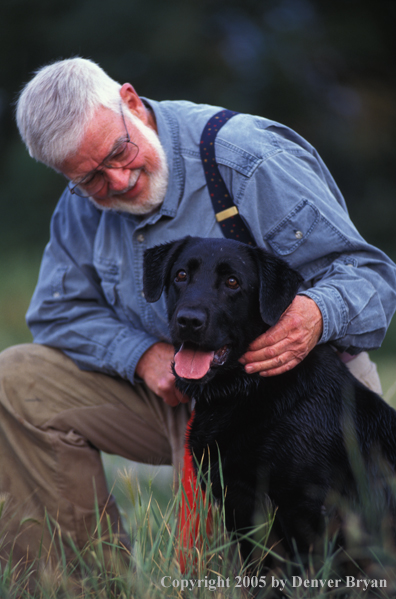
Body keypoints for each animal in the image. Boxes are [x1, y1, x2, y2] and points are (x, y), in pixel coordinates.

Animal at [144, 237, 396, 568]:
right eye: (181, 275)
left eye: (233, 282)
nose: (188, 320)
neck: (246, 390)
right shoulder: (238, 504)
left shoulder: (308, 510)